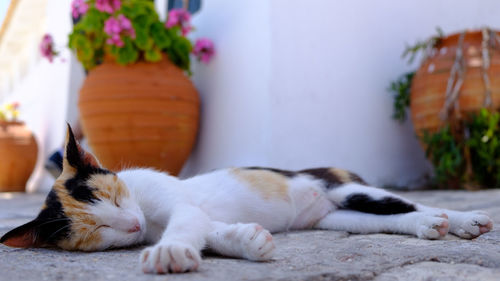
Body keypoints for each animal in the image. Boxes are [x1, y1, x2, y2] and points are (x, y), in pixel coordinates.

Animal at [0, 125, 492, 274]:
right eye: (98, 229)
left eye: (114, 200)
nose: (134, 226)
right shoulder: (196, 218)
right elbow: (211, 232)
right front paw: (248, 242)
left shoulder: (177, 205)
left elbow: (185, 223)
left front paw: (170, 253)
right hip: (337, 219)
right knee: (389, 219)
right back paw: (428, 227)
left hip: (348, 189)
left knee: (407, 204)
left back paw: (463, 220)